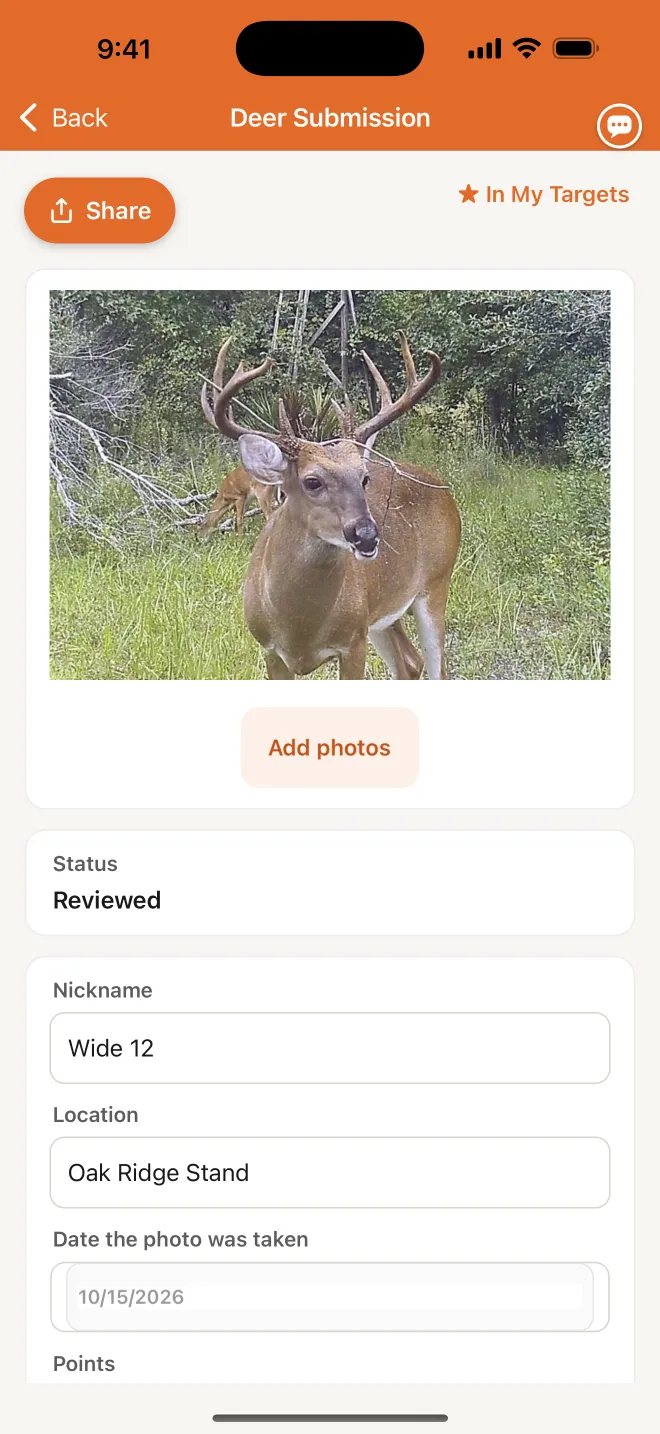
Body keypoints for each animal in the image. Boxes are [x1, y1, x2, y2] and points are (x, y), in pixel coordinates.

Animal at [202, 334, 461, 679]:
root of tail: (444, 490)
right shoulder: (270, 650)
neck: (299, 629)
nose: (366, 536)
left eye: (364, 478)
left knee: (435, 667)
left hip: (436, 582)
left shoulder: (353, 642)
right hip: (382, 615)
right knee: (409, 662)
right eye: (312, 481)